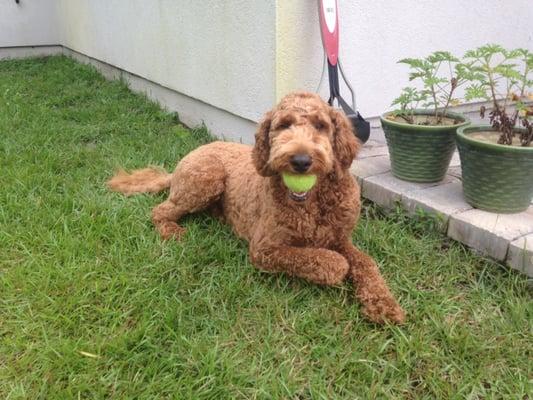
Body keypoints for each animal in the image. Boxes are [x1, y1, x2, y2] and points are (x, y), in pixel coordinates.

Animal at [108, 92, 404, 324]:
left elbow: (366, 263)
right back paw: (172, 230)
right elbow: (329, 261)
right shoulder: (264, 249)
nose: (300, 161)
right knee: (160, 210)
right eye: (283, 125)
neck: (312, 203)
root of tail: (188, 157)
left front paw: (384, 305)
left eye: (321, 125)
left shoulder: (340, 238)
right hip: (206, 177)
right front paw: (338, 268)